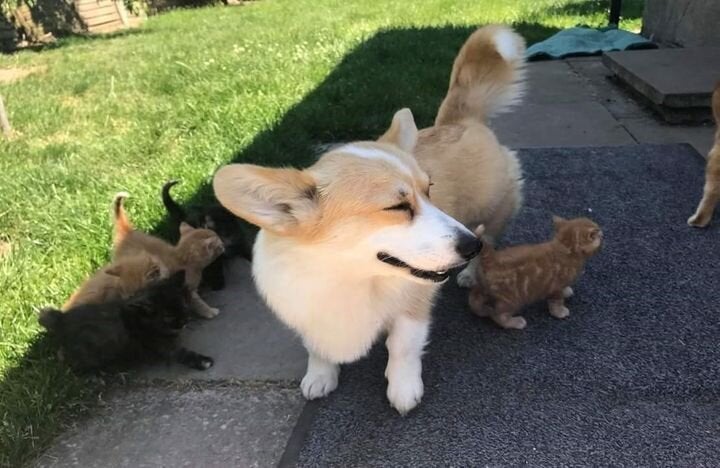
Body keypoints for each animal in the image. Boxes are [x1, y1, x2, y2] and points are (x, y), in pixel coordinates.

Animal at [39, 270, 214, 372]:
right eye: (168, 317)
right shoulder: (161, 345)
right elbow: (182, 353)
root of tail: (61, 319)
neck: (140, 318)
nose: (185, 320)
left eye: (183, 305)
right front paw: (202, 361)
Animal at [212, 25, 524, 414]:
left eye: (430, 190)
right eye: (397, 207)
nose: (470, 245)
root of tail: (457, 121)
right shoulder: (308, 315)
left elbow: (402, 346)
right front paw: (320, 377)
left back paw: (471, 271)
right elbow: (316, 348)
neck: (348, 276)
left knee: (492, 236)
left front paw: (403, 390)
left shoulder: (411, 305)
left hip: (492, 210)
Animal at [470, 218, 604, 330]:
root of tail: (492, 258)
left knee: (474, 300)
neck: (565, 248)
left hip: (482, 287)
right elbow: (556, 301)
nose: (602, 233)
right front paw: (560, 312)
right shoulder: (555, 286)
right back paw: (514, 322)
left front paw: (566, 291)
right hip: (512, 300)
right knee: (498, 315)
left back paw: (483, 310)